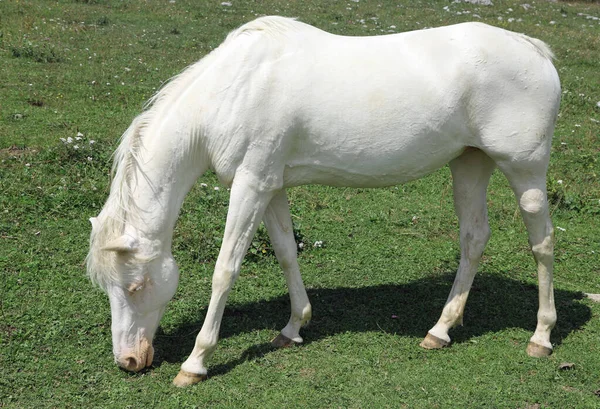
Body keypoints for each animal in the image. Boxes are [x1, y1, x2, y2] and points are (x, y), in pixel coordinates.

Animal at [86, 16, 560, 386]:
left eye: (135, 286)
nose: (129, 360)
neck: (234, 90)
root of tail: (534, 51)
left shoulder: (250, 186)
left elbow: (225, 269)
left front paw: (196, 363)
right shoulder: (270, 186)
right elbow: (285, 252)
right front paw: (294, 326)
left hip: (525, 172)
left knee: (542, 243)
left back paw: (540, 337)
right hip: (469, 165)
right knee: (474, 239)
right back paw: (441, 329)